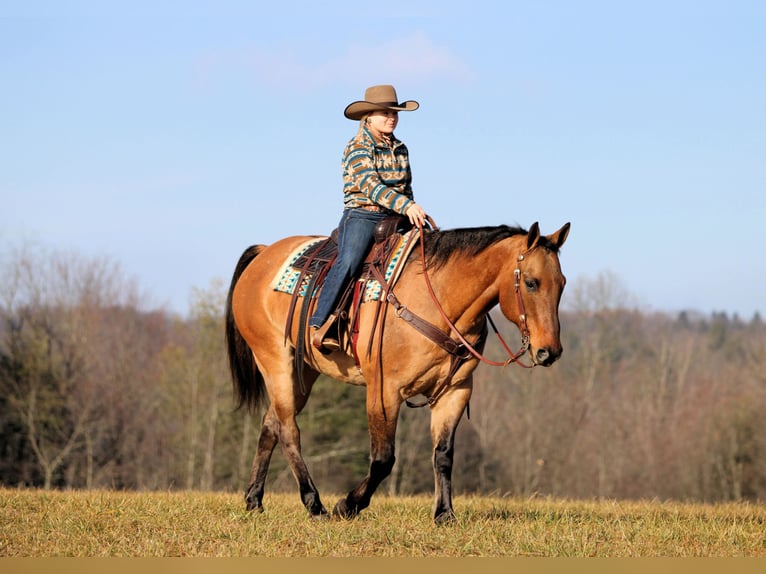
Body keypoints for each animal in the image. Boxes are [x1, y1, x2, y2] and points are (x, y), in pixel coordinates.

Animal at [225, 220, 570, 523]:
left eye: (562, 284)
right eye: (531, 282)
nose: (549, 352)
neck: (438, 300)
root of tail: (264, 254)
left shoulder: (455, 391)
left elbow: (443, 454)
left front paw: (445, 514)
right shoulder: (384, 391)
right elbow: (383, 459)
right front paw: (348, 505)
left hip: (304, 372)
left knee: (271, 423)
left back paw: (254, 500)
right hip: (275, 361)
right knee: (288, 430)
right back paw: (315, 504)